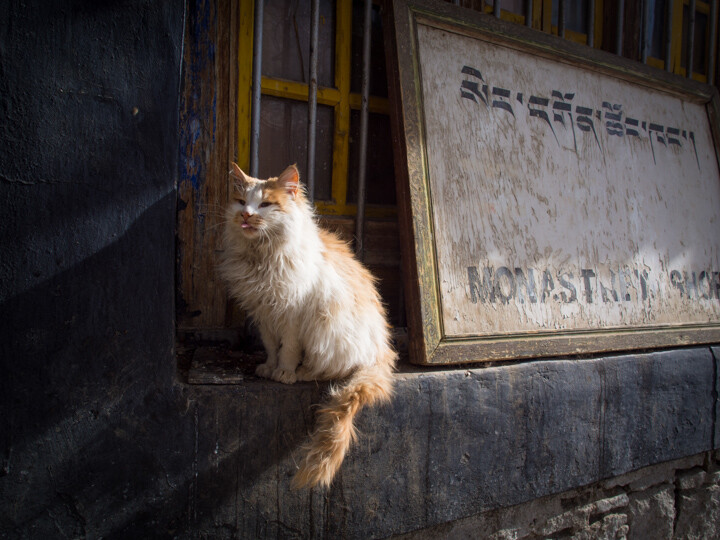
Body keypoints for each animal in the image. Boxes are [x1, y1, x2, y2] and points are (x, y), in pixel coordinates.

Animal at [221, 161, 396, 490]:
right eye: (240, 202)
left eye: (265, 205)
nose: (246, 215)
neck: (262, 257)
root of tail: (383, 351)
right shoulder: (264, 315)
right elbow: (271, 348)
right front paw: (268, 368)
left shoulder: (292, 315)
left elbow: (288, 350)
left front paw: (284, 373)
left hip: (328, 332)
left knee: (332, 371)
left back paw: (302, 373)